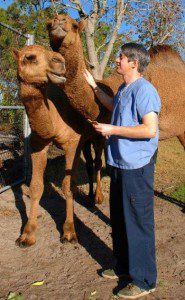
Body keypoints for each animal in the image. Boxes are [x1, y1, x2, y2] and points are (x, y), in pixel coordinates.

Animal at [13, 44, 97, 246]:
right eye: (30, 57)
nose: (60, 61)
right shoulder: (38, 145)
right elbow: (36, 187)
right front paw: (27, 235)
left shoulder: (72, 143)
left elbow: (67, 186)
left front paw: (69, 232)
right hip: (87, 141)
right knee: (90, 164)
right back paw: (90, 199)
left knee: (99, 162)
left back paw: (99, 197)